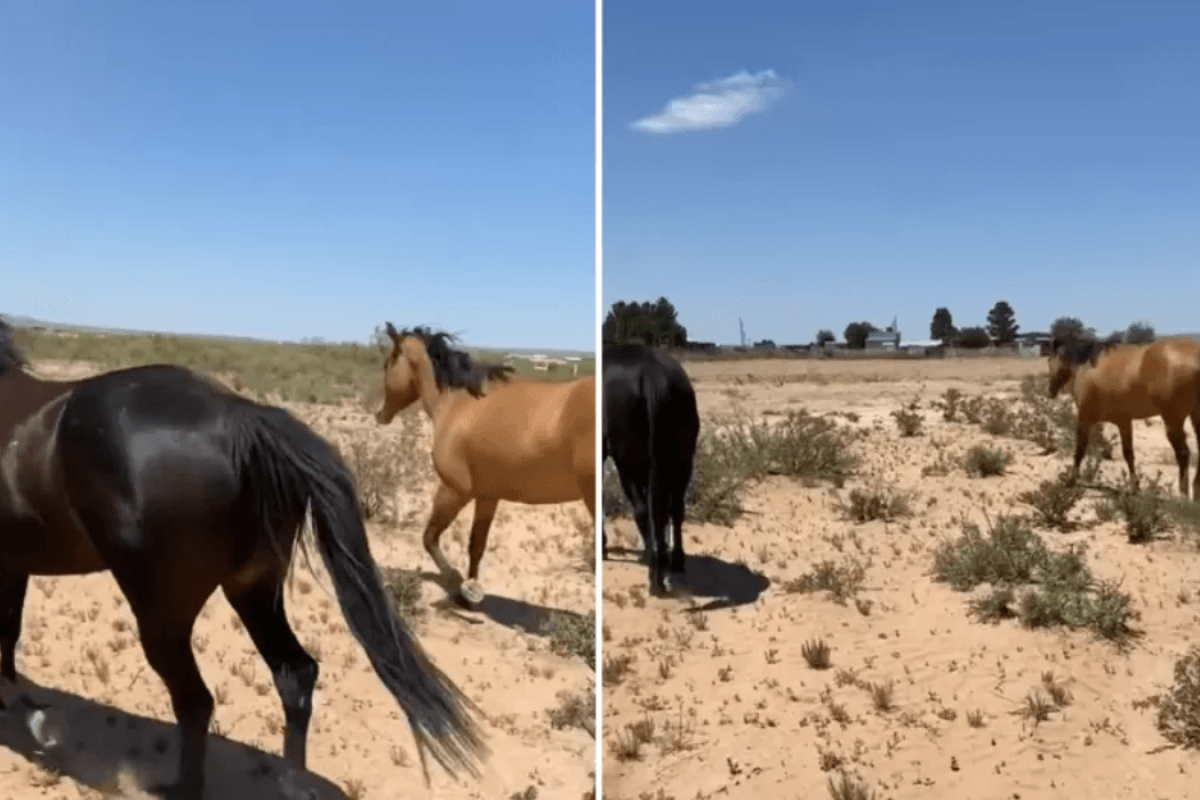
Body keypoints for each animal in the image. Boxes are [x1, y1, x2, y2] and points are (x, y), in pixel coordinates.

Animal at [1, 321, 487, 800]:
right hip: (255, 589)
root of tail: (243, 418)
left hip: (164, 613)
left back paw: (179, 788)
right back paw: (293, 785)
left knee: (195, 701)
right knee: (295, 674)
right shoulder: (15, 565)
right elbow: (11, 630)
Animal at [374, 326, 595, 606]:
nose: (380, 415)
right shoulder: (487, 496)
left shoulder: (454, 491)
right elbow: (476, 545)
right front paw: (471, 592)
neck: (460, 405)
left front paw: (457, 583)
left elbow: (429, 538)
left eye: (387, 364)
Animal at [604, 340, 700, 597]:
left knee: (644, 509)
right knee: (673, 508)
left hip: (628, 461)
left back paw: (654, 573)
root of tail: (652, 374)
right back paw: (673, 560)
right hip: (681, 459)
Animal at [1046, 335, 1200, 496]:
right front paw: (1134, 486)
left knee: (1183, 454)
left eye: (1050, 359)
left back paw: (1183, 495)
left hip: (1173, 420)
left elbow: (1080, 449)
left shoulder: (1085, 418)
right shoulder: (1123, 421)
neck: (1090, 368)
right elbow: (1128, 454)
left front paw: (1071, 480)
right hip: (1196, 417)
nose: (1050, 391)